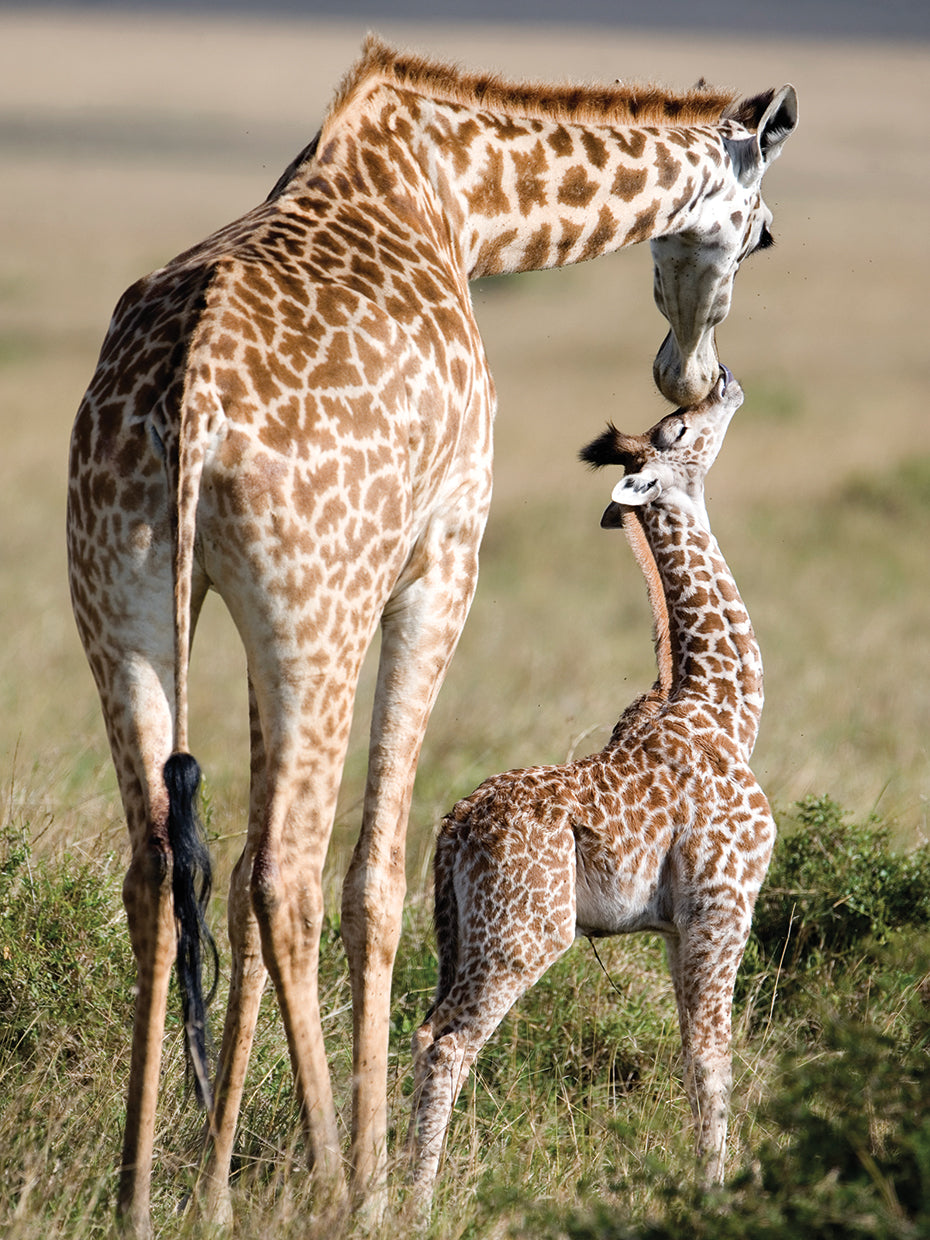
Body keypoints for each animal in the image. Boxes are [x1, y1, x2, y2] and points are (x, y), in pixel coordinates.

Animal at [407, 367, 776, 1208]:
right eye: (676, 430)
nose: (727, 381)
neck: (728, 708)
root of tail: (452, 829)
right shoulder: (724, 905)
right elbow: (713, 1061)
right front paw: (715, 1194)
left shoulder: (675, 926)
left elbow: (689, 1055)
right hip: (523, 933)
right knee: (448, 1044)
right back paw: (409, 1204)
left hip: (460, 933)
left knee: (422, 1029)